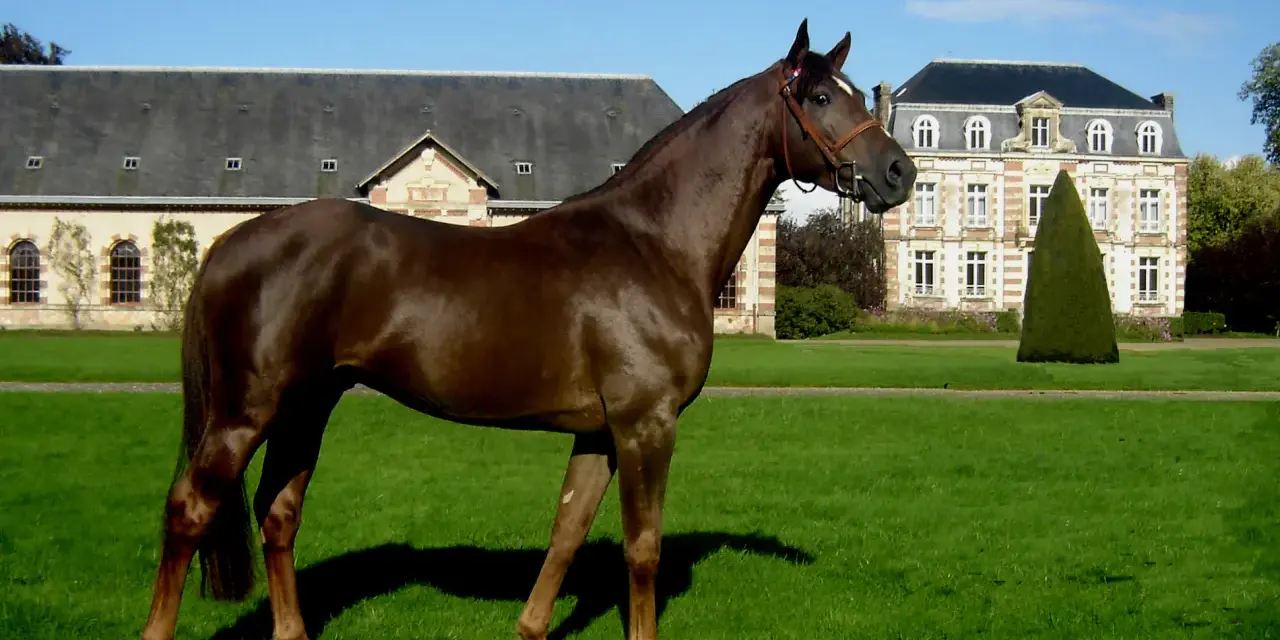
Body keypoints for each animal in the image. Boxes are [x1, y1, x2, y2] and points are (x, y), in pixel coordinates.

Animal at [140, 18, 916, 640]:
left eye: (854, 91)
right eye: (819, 97)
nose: (899, 172)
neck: (653, 242)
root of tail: (231, 243)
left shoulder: (598, 432)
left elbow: (567, 532)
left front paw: (532, 625)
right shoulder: (646, 425)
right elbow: (642, 551)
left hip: (307, 407)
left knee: (279, 513)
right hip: (245, 414)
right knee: (189, 510)